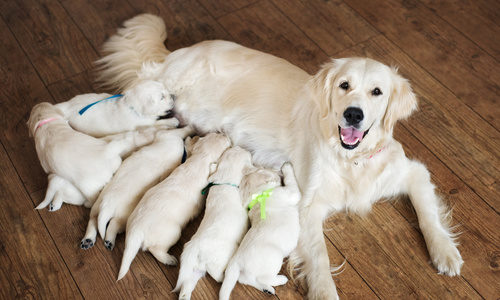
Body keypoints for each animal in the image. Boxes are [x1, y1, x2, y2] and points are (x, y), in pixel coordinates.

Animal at [118, 132, 231, 280]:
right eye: (223, 139)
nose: (224, 133)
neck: (200, 159)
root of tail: (135, 230)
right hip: (173, 232)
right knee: (155, 249)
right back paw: (169, 260)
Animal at [175, 145, 254, 298]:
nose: (241, 146)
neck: (225, 181)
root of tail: (194, 246)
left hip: (195, 269)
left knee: (186, 287)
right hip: (219, 259)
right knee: (217, 275)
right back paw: (224, 278)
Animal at [220, 163, 300, 298]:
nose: (278, 171)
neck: (259, 195)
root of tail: (235, 261)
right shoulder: (290, 193)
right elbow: (292, 182)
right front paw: (287, 167)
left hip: (246, 274)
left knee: (248, 280)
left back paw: (267, 289)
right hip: (275, 257)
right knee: (263, 278)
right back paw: (281, 279)